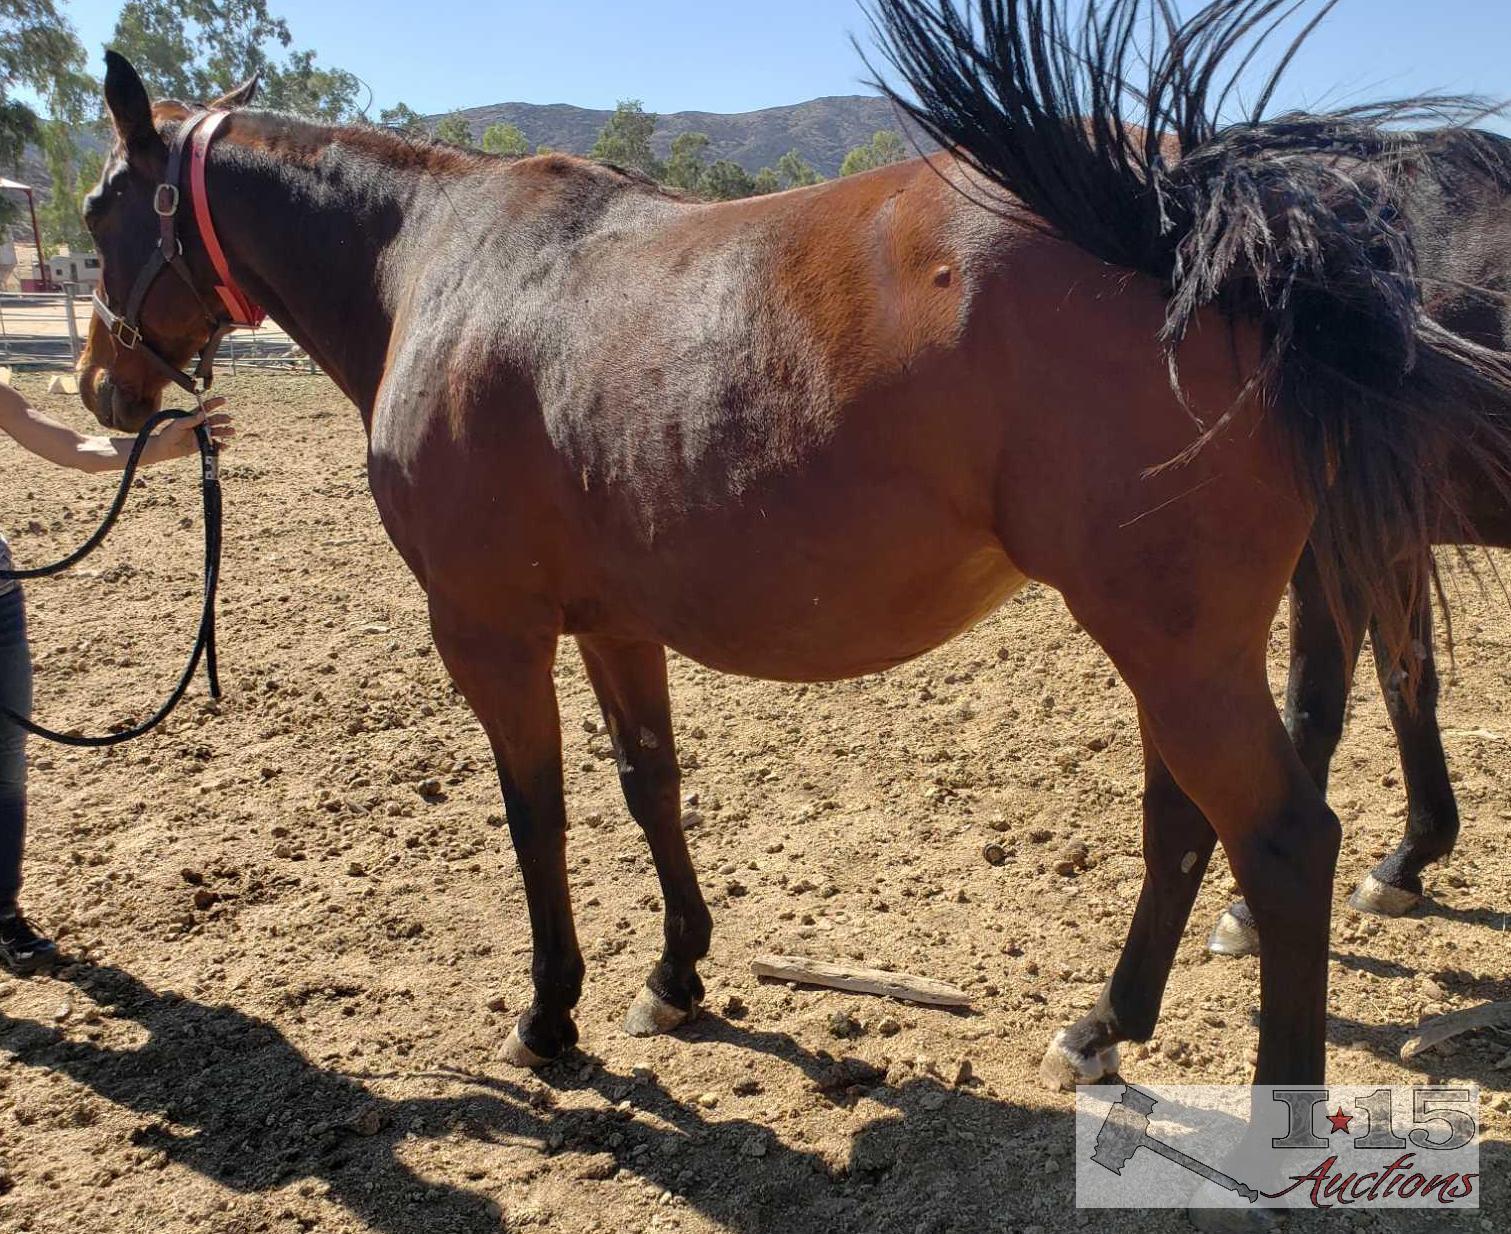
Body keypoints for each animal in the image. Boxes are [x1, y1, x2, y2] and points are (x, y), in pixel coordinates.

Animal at [1208, 127, 1511, 954]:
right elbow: (1405, 682)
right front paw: (1409, 861)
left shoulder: (1338, 547)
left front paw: (1251, 911)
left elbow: (1311, 711)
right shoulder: (1393, 539)